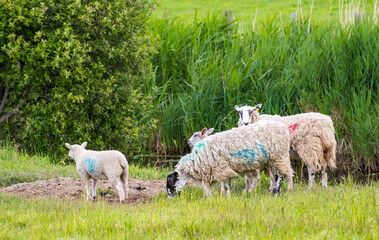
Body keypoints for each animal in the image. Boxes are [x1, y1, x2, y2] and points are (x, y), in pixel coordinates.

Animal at [168, 121, 296, 198]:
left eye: (171, 182)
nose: (171, 197)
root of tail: (282, 126)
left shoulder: (221, 168)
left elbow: (226, 185)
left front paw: (226, 196)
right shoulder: (223, 169)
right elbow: (225, 184)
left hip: (280, 156)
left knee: (287, 173)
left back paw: (288, 189)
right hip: (265, 161)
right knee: (272, 176)